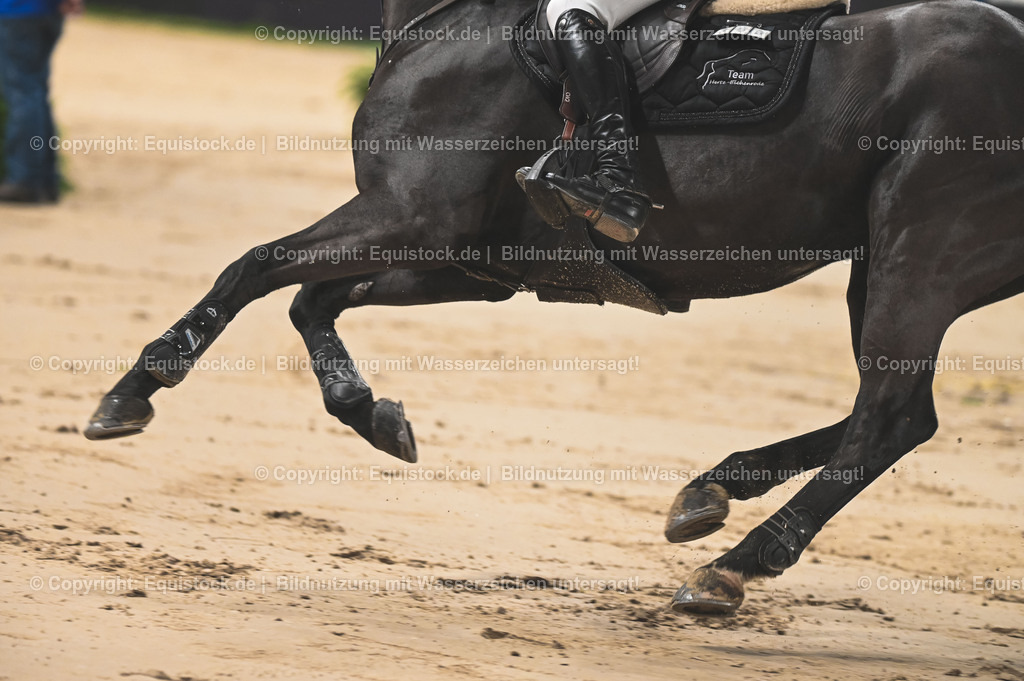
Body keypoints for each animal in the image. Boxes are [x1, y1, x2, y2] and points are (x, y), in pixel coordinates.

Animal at [84, 0, 1024, 615]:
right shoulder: (461, 255)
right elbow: (309, 300)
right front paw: (374, 414)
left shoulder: (406, 217)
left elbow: (252, 269)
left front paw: (132, 391)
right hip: (883, 262)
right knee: (901, 415)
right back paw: (715, 489)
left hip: (921, 249)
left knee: (887, 418)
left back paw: (730, 567)